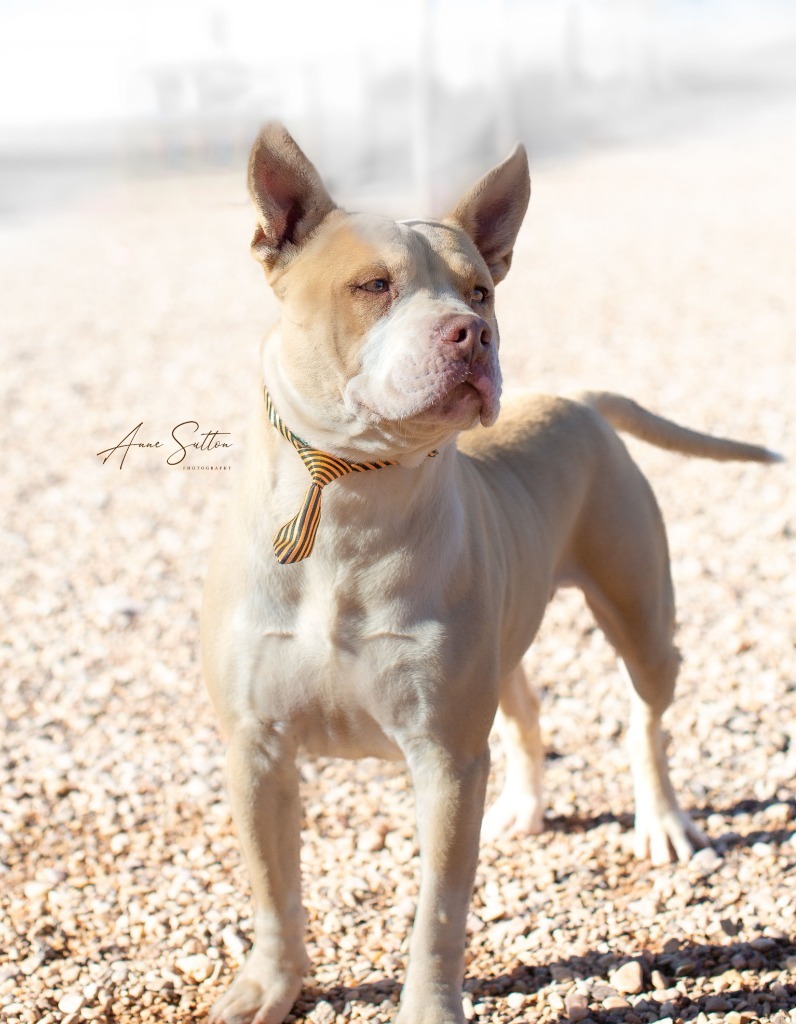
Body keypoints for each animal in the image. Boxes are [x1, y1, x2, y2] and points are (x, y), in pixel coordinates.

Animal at [201, 125, 778, 1024]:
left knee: (645, 719)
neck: (355, 497)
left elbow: (439, 910)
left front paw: (429, 1008)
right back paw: (525, 807)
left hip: (641, 621)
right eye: (373, 285)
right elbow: (271, 888)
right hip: (501, 644)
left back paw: (660, 820)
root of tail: (575, 401)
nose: (472, 334)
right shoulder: (256, 750)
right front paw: (270, 985)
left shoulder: (444, 762)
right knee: (526, 708)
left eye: (480, 291)